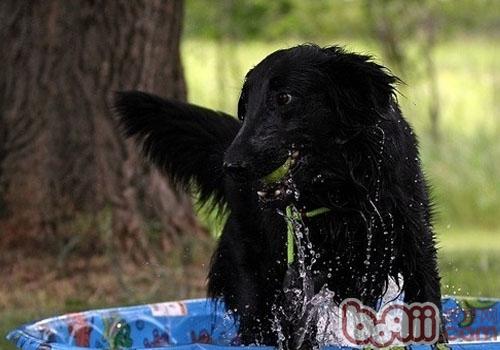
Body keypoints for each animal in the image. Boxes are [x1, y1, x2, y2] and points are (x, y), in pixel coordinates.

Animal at [113, 45, 442, 348]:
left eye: (284, 98)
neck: (342, 187)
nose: (232, 166)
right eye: (246, 105)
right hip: (253, 284)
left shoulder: (416, 245)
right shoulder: (303, 271)